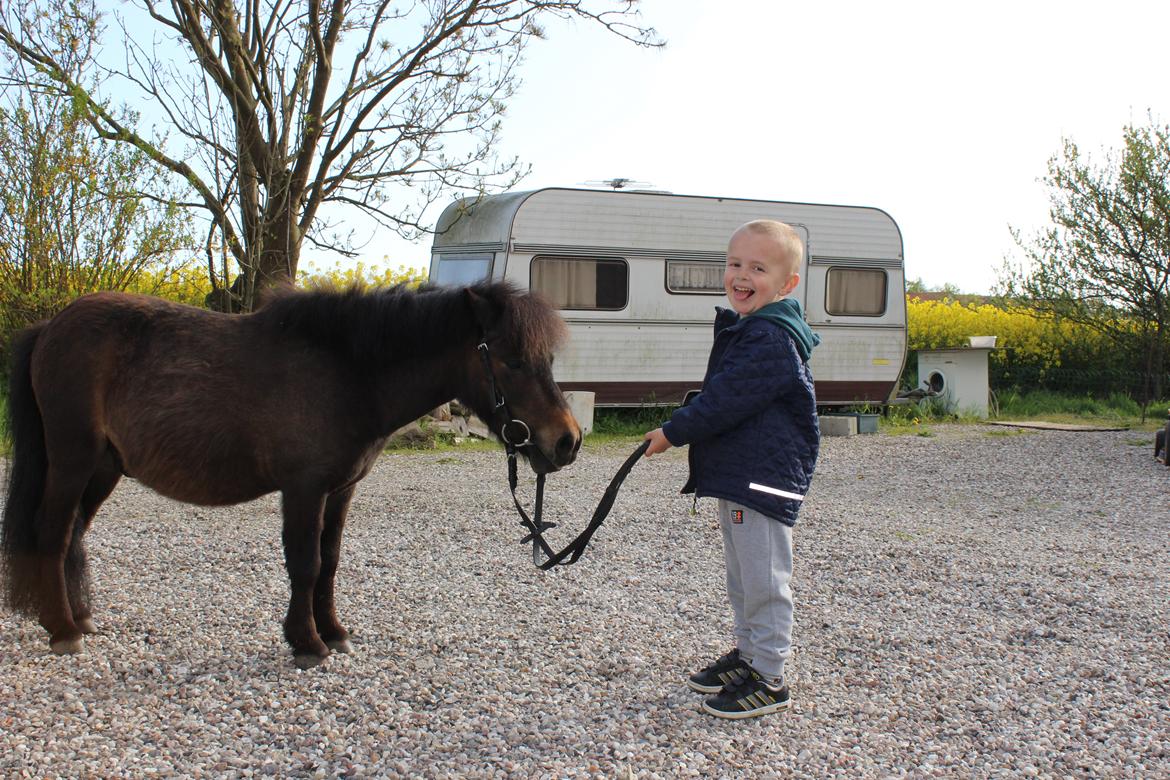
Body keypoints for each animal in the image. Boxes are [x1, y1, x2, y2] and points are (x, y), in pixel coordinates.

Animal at [2, 284, 577, 668]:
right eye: (512, 360)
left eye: (547, 358)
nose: (566, 440)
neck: (349, 373)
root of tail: (50, 327)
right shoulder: (303, 489)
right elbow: (305, 564)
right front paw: (307, 642)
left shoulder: (340, 491)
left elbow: (330, 563)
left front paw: (334, 631)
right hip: (73, 461)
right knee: (54, 535)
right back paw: (63, 630)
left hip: (104, 468)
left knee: (75, 534)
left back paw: (79, 618)